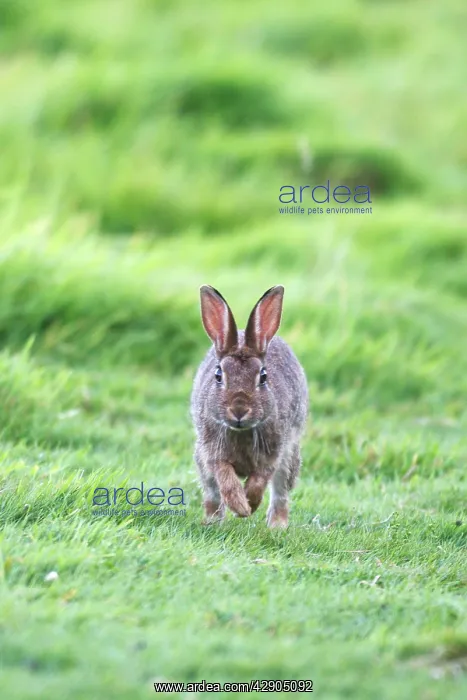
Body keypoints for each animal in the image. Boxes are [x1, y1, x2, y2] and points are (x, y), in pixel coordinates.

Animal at [191, 285, 308, 528]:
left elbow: (259, 481)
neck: (241, 431)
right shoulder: (212, 453)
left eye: (263, 377)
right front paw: (240, 506)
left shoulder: (273, 454)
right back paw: (213, 522)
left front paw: (248, 506)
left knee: (281, 494)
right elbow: (225, 478)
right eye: (218, 375)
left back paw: (277, 527)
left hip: (290, 458)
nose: (239, 410)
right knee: (212, 495)